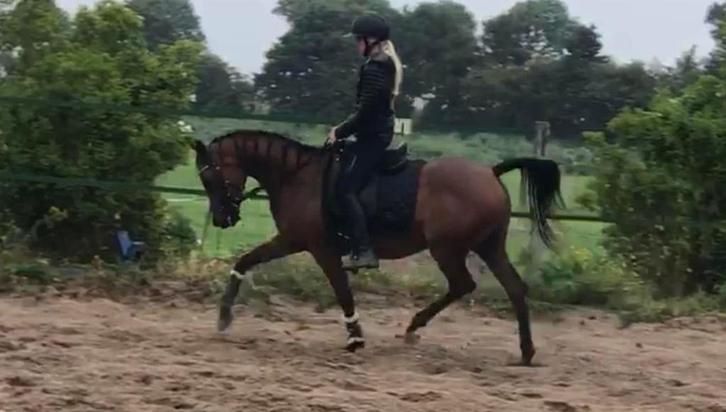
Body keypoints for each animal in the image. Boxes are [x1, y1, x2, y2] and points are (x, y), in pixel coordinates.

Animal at [193, 129, 563, 366]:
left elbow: (342, 291)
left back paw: (415, 327)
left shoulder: (318, 247)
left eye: (209, 178)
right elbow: (245, 260)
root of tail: (490, 172)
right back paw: (526, 351)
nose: (223, 219)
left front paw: (355, 337)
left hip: (447, 248)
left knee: (463, 284)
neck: (297, 176)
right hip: (488, 247)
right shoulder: (294, 241)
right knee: (514, 288)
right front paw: (223, 318)